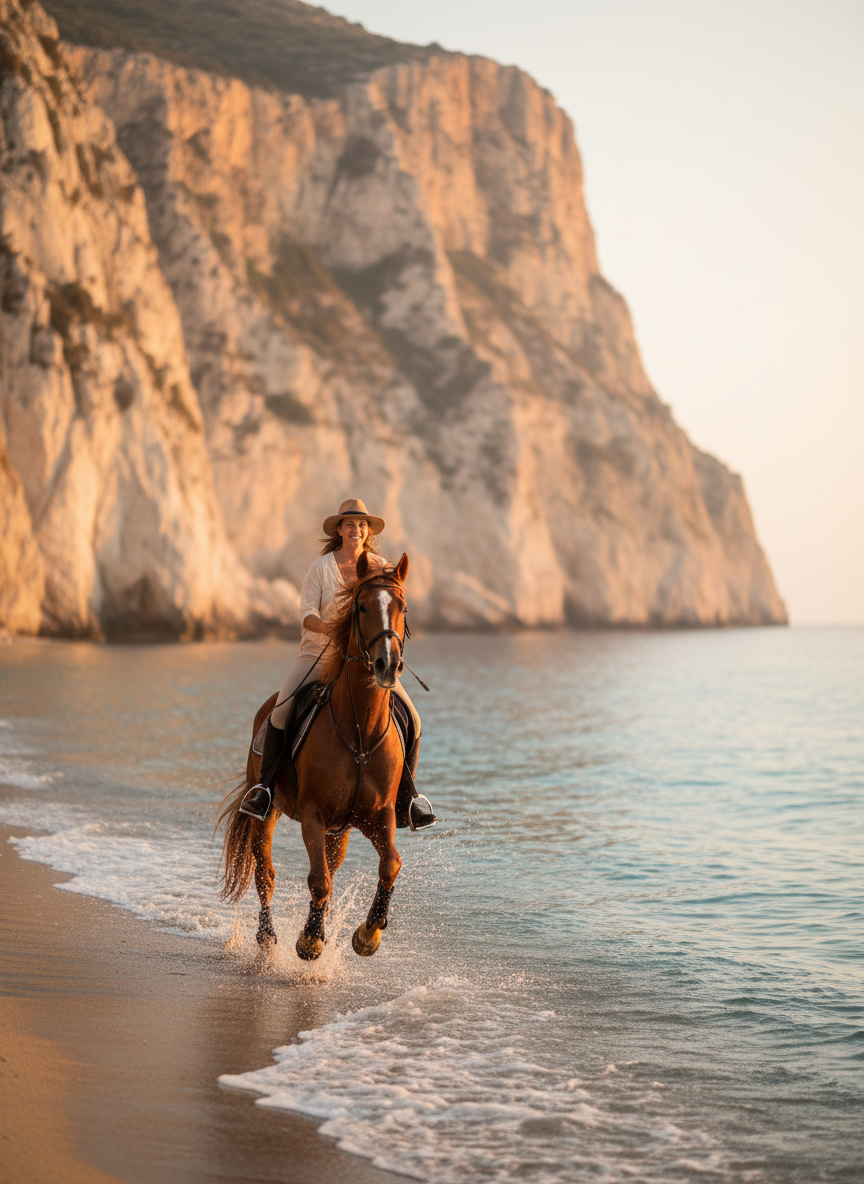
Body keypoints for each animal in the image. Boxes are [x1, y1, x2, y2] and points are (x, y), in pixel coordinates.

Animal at [216, 551, 414, 961]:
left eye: (402, 607)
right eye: (361, 606)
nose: (387, 664)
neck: (359, 735)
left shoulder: (378, 816)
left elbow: (390, 864)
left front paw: (369, 933)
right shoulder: (313, 814)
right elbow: (318, 881)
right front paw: (309, 940)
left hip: (341, 831)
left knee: (332, 869)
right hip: (268, 813)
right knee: (266, 875)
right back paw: (267, 937)